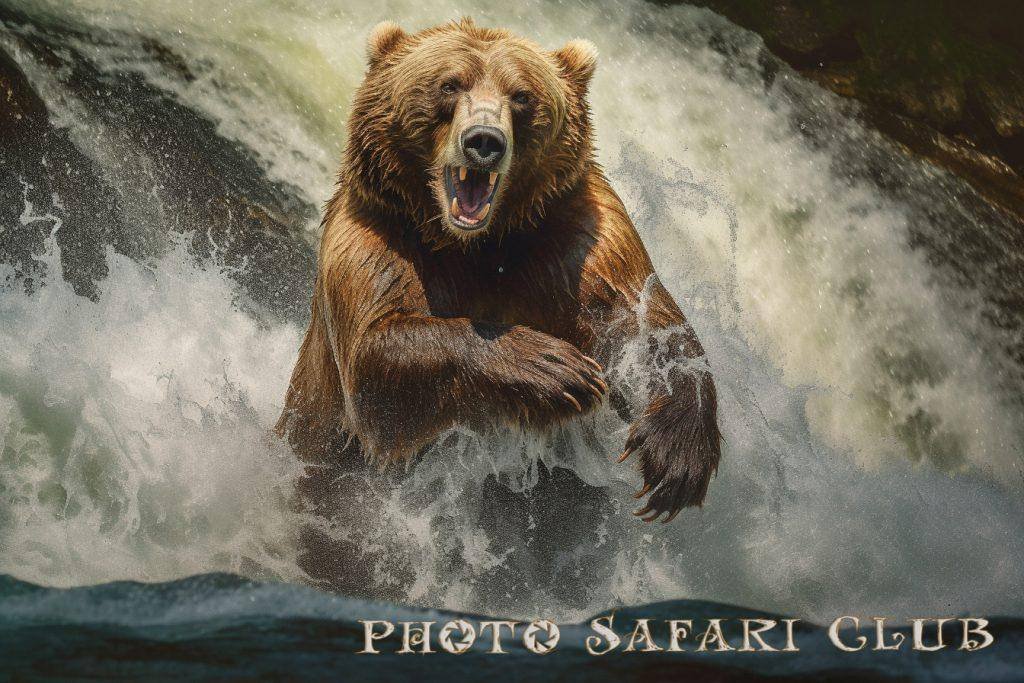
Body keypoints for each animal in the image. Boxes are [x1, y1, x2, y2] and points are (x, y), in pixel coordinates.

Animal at [276, 18, 722, 596]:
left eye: (522, 96)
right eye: (449, 84)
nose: (484, 141)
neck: (474, 246)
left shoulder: (576, 234)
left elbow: (640, 322)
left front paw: (676, 455)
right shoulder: (371, 236)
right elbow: (377, 357)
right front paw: (556, 367)